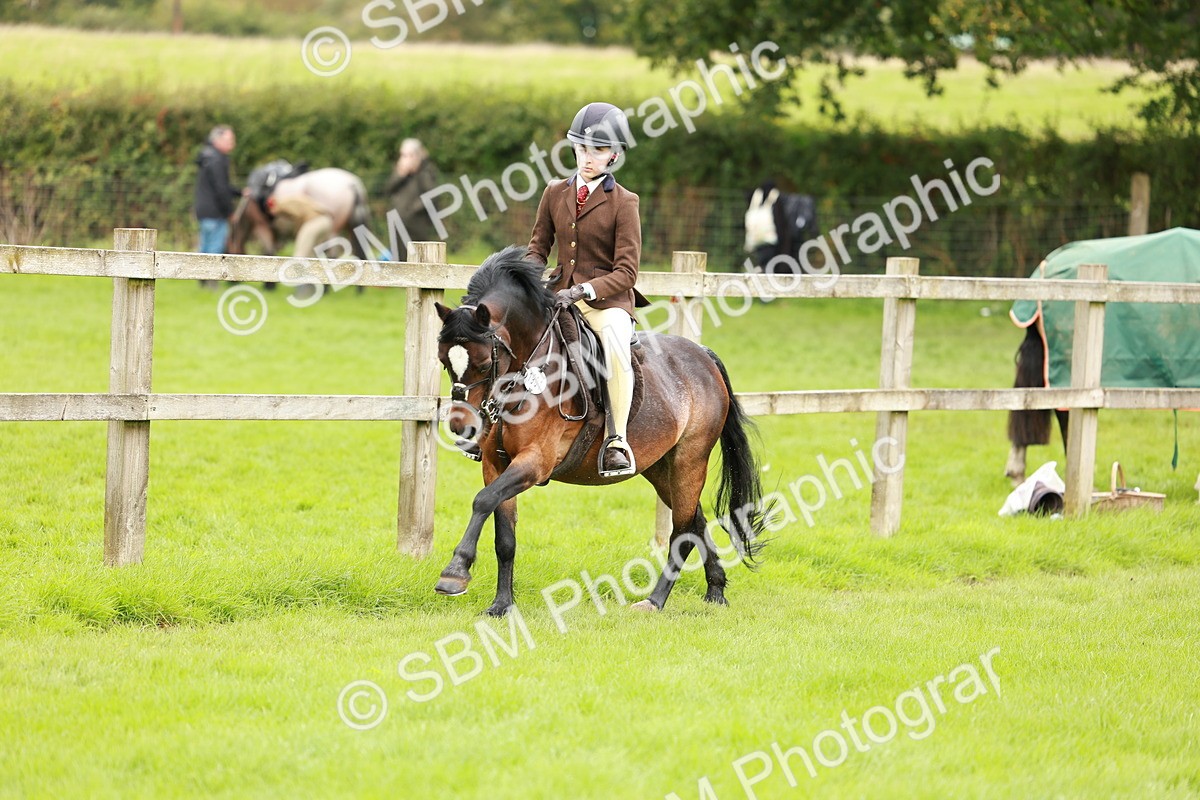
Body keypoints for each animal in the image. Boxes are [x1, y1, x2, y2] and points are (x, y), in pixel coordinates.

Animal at [434, 245, 770, 616]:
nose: (461, 426)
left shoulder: (535, 462)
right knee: (695, 520)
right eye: (444, 362)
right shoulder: (496, 464)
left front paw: (454, 574)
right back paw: (716, 589)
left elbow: (482, 501)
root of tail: (704, 356)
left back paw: (654, 601)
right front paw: (501, 605)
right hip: (659, 467)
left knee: (682, 532)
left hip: (689, 460)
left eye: (482, 364)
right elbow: (504, 536)